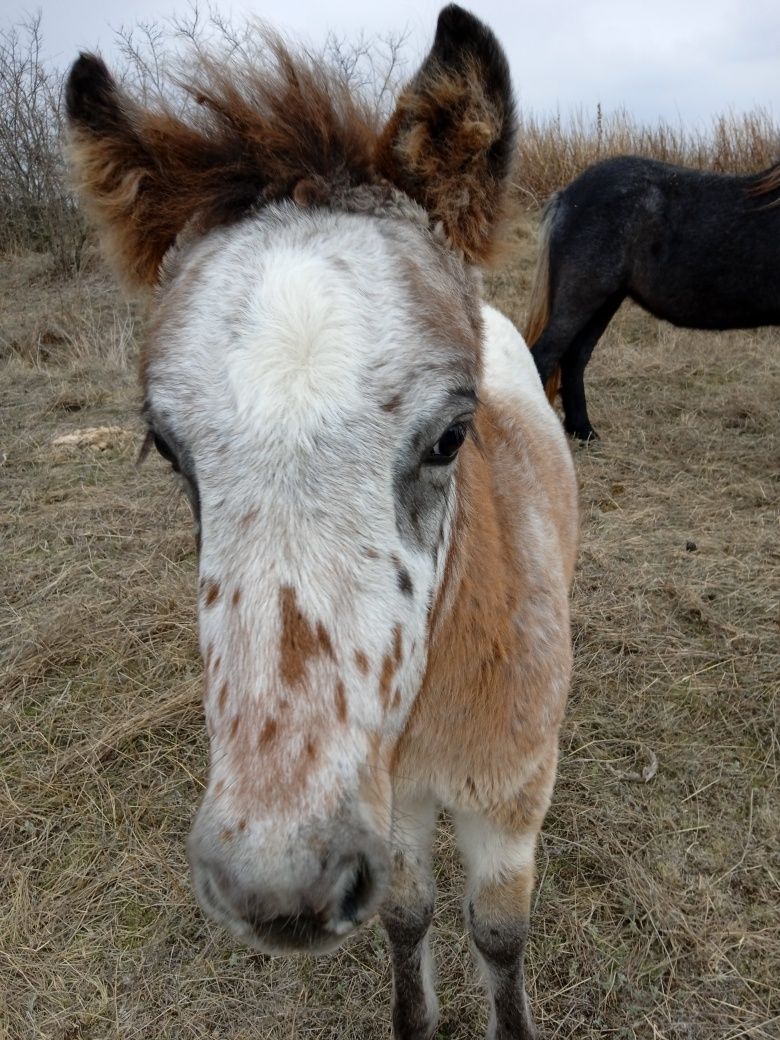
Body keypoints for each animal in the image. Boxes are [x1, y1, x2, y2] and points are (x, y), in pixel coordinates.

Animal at [67, 8, 578, 1040]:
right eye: (165, 447)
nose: (275, 887)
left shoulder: (512, 805)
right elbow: (409, 912)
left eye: (451, 433)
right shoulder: (396, 804)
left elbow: (499, 937)